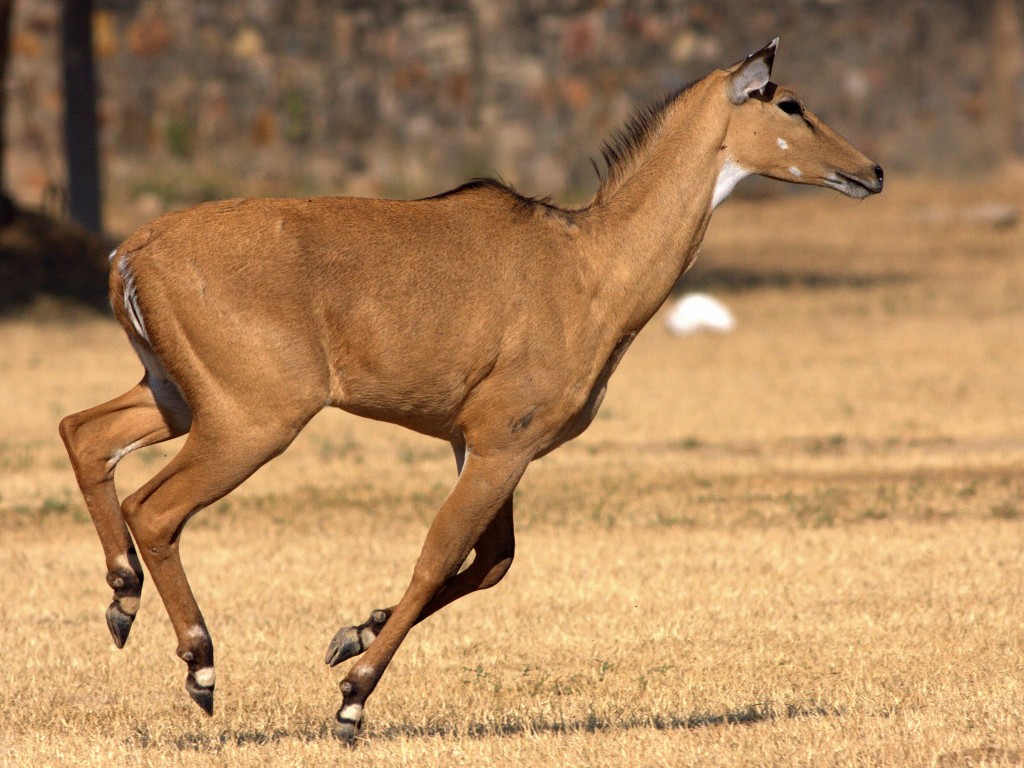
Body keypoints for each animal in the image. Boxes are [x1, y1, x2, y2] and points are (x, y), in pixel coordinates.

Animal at [61, 39, 880, 741]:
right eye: (791, 104)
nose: (871, 171)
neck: (593, 266)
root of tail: (130, 253)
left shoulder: (479, 441)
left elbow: (490, 563)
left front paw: (351, 633)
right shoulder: (502, 442)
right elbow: (443, 554)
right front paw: (353, 697)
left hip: (175, 394)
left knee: (83, 432)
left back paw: (121, 598)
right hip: (253, 417)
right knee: (154, 507)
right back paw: (200, 666)